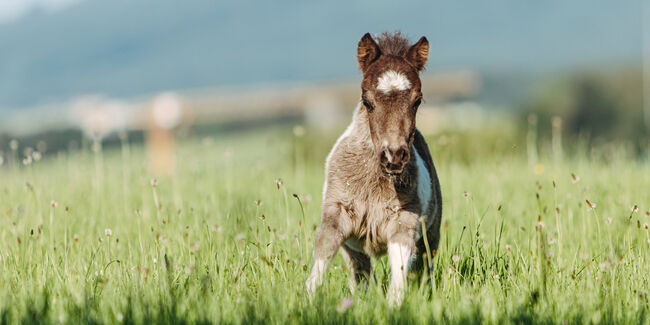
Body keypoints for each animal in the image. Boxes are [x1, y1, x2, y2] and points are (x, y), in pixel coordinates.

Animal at [306, 31, 442, 306]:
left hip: (431, 236)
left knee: (425, 269)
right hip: (355, 251)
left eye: (417, 101)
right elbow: (322, 257)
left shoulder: (404, 220)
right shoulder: (337, 213)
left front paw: (394, 306)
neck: (372, 183)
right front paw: (309, 302)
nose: (394, 156)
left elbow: (400, 272)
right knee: (361, 276)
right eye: (366, 101)